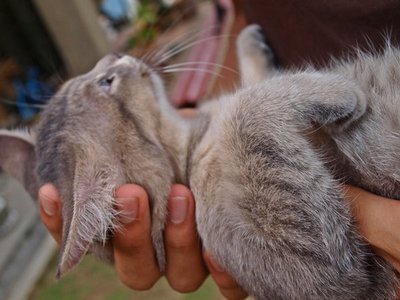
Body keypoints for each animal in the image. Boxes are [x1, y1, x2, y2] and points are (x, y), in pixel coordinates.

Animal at [0, 24, 400, 298]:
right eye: (105, 82)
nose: (113, 57)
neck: (196, 132)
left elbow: (255, 86)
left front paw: (251, 45)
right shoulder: (322, 271)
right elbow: (246, 106)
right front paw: (342, 92)